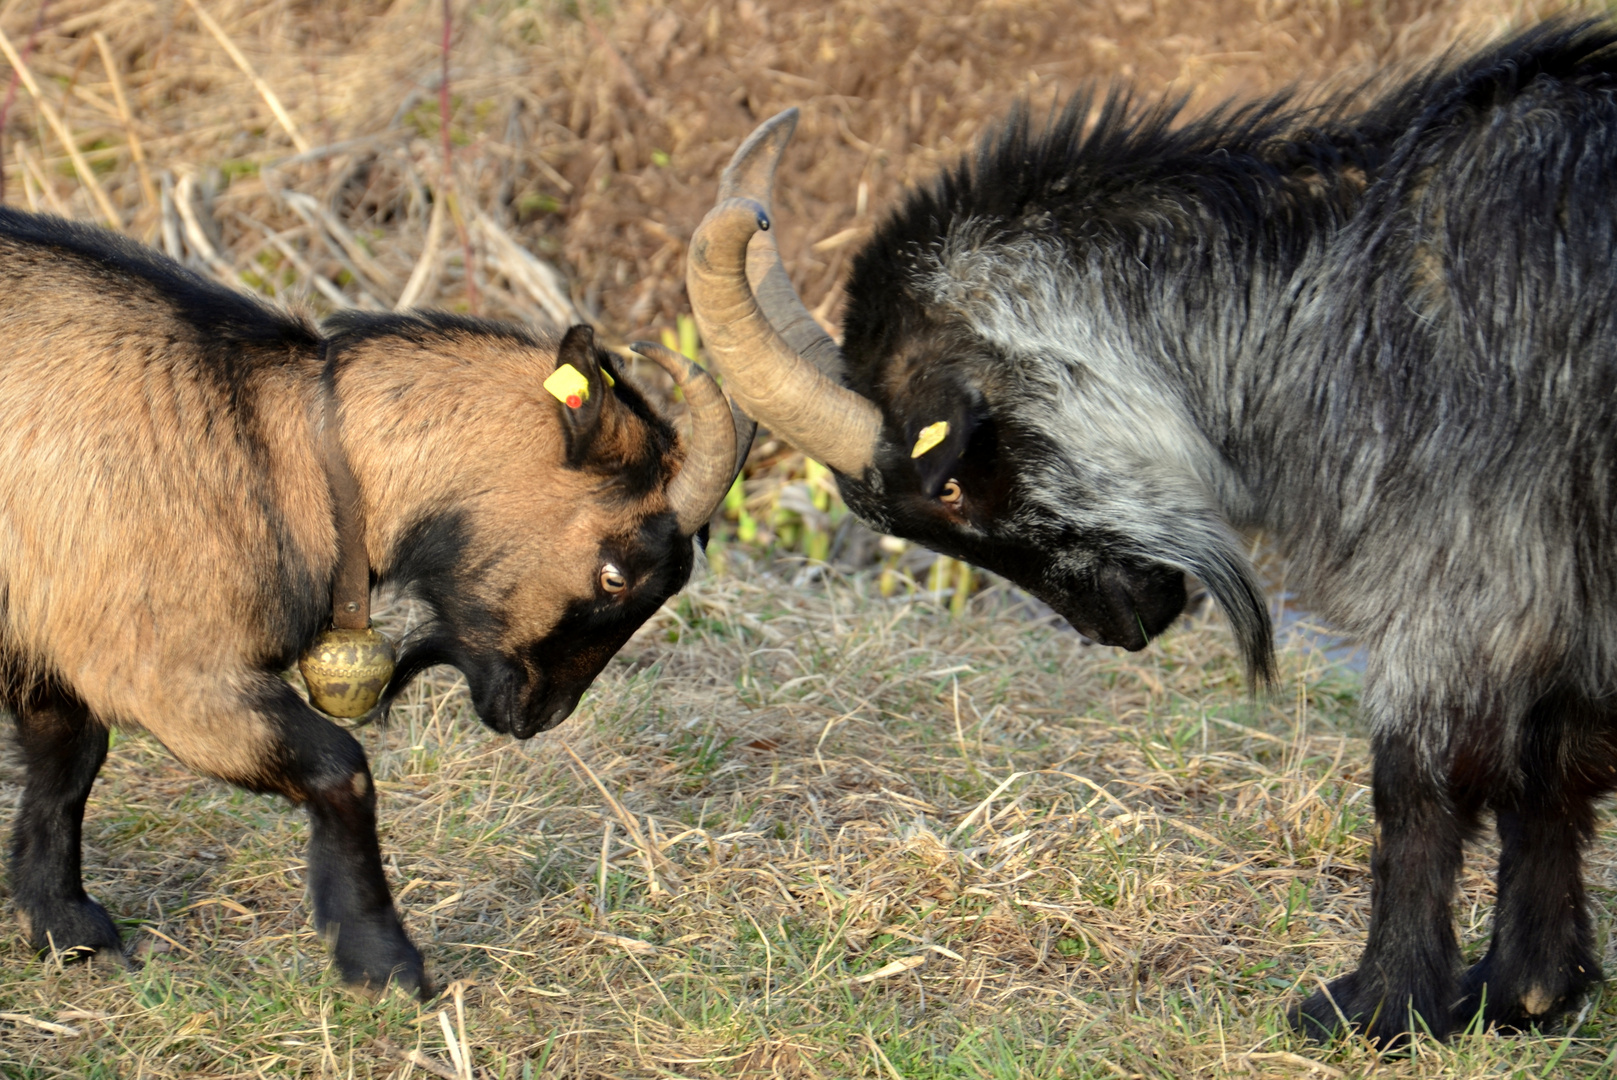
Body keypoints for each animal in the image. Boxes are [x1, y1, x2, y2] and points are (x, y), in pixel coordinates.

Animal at [1, 206, 740, 1002]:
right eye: (614, 575)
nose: (540, 715)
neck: (285, 443)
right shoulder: (165, 668)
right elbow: (341, 767)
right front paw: (384, 963)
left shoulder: (47, 635)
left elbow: (68, 759)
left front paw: (65, 928)